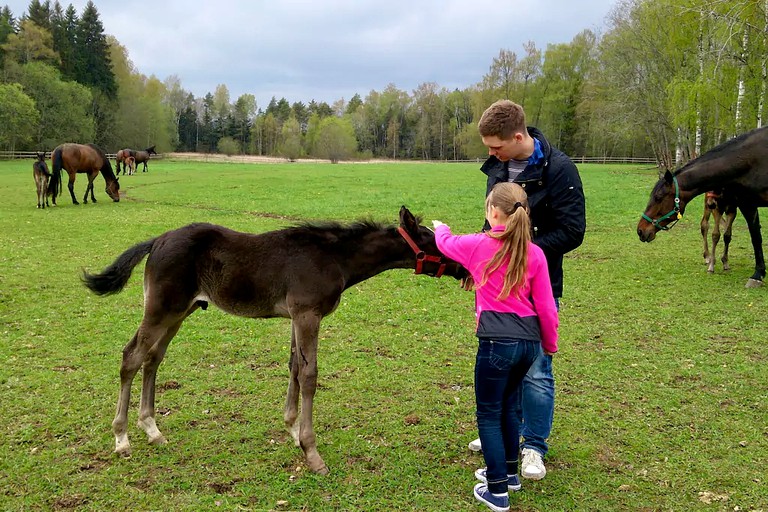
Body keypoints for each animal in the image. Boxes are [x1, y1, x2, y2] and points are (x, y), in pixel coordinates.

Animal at [85, 206, 468, 474]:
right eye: (437, 241)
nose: (464, 268)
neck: (334, 258)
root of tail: (158, 240)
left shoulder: (297, 318)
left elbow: (294, 367)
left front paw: (293, 431)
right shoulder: (307, 314)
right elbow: (310, 375)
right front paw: (312, 452)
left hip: (181, 312)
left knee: (153, 358)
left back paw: (152, 429)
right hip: (162, 308)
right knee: (131, 356)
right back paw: (121, 438)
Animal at [636, 122, 768, 286]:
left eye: (658, 197)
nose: (640, 230)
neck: (750, 160)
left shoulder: (742, 205)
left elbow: (754, 237)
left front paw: (757, 275)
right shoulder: (744, 204)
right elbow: (753, 236)